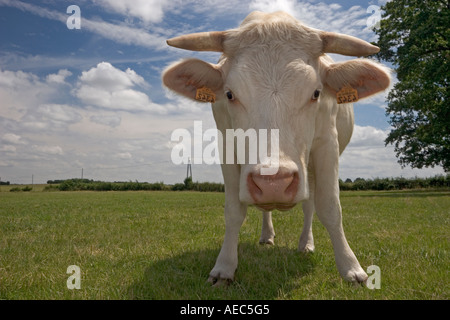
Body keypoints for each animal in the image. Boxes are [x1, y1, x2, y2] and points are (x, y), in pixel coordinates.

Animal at [162, 11, 390, 284]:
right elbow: (234, 211)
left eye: (316, 93)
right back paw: (267, 235)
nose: (274, 183)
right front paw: (224, 267)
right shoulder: (227, 144)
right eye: (229, 94)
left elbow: (330, 207)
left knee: (309, 204)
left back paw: (305, 244)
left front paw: (351, 267)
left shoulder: (327, 144)